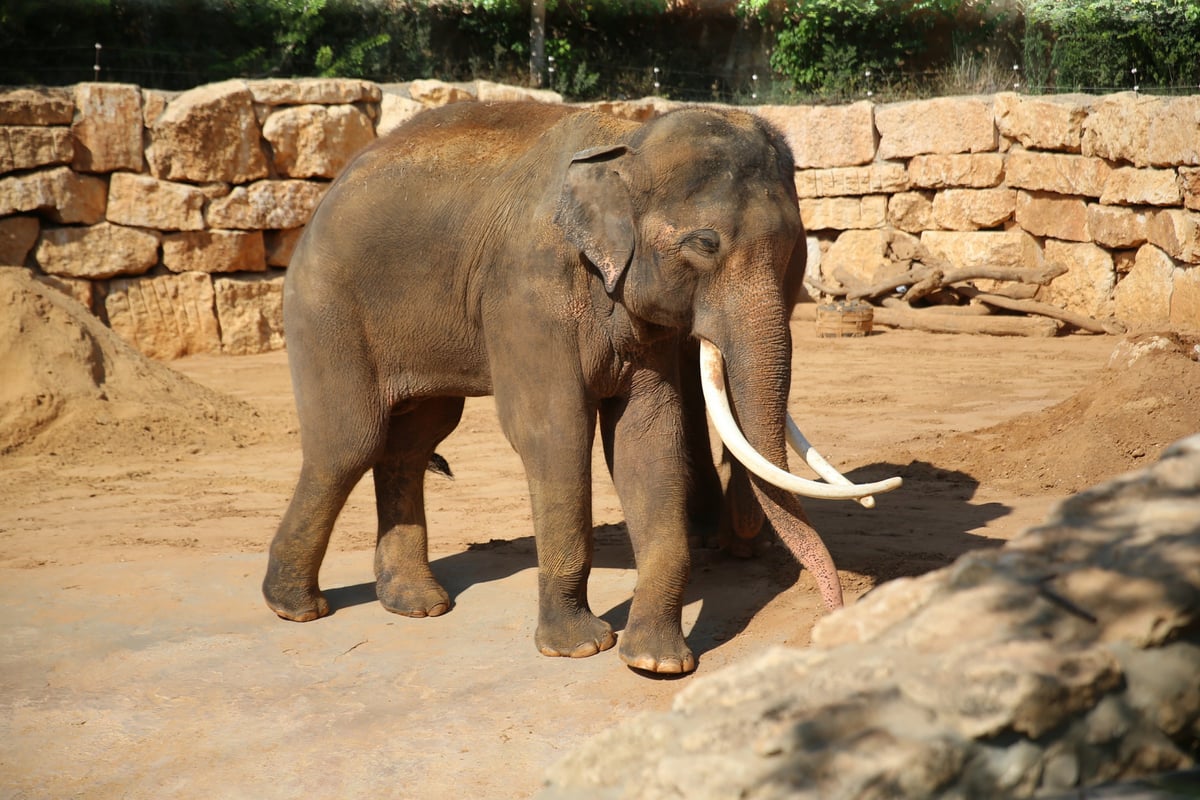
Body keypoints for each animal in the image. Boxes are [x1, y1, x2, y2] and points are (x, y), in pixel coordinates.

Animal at [262, 101, 902, 676]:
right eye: (704, 244)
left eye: (797, 248)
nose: (830, 615)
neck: (628, 141)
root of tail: (329, 191)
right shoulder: (528, 293)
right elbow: (554, 433)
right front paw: (578, 648)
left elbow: (648, 437)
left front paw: (656, 663)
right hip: (327, 308)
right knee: (350, 442)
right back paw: (297, 608)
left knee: (415, 439)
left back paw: (416, 605)